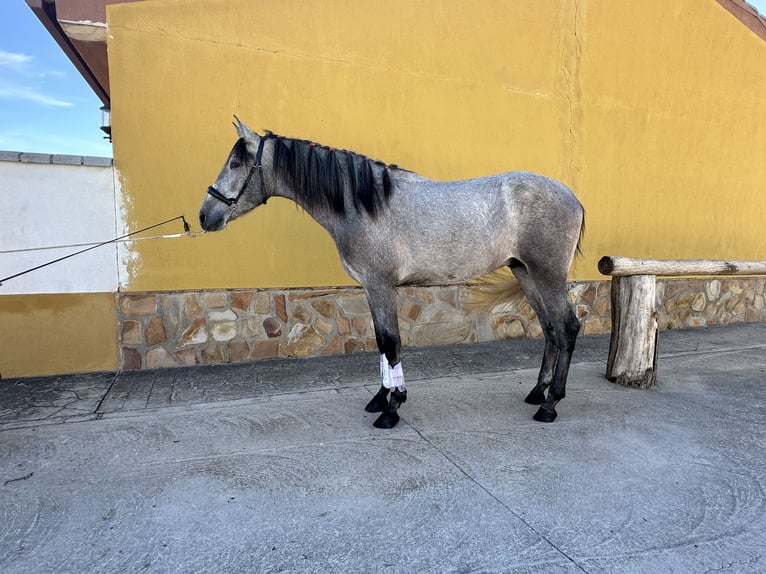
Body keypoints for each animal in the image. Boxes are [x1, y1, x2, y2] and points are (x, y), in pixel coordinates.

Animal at [201, 119, 584, 430]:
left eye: (235, 163)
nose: (205, 215)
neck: (364, 205)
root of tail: (573, 197)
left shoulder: (381, 285)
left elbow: (391, 343)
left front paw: (392, 408)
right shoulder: (372, 289)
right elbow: (382, 343)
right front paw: (380, 398)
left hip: (548, 275)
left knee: (566, 327)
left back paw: (550, 404)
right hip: (526, 273)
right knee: (550, 328)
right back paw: (537, 392)